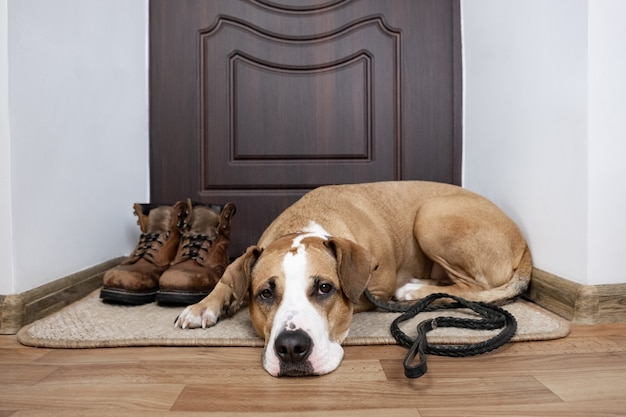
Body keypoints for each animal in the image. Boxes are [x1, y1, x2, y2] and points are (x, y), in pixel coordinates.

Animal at [173, 180, 528, 376]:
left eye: (324, 288)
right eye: (265, 294)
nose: (291, 348)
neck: (306, 226)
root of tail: (523, 244)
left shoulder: (375, 289)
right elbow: (225, 281)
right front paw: (202, 307)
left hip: (433, 216)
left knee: (475, 287)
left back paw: (416, 292)